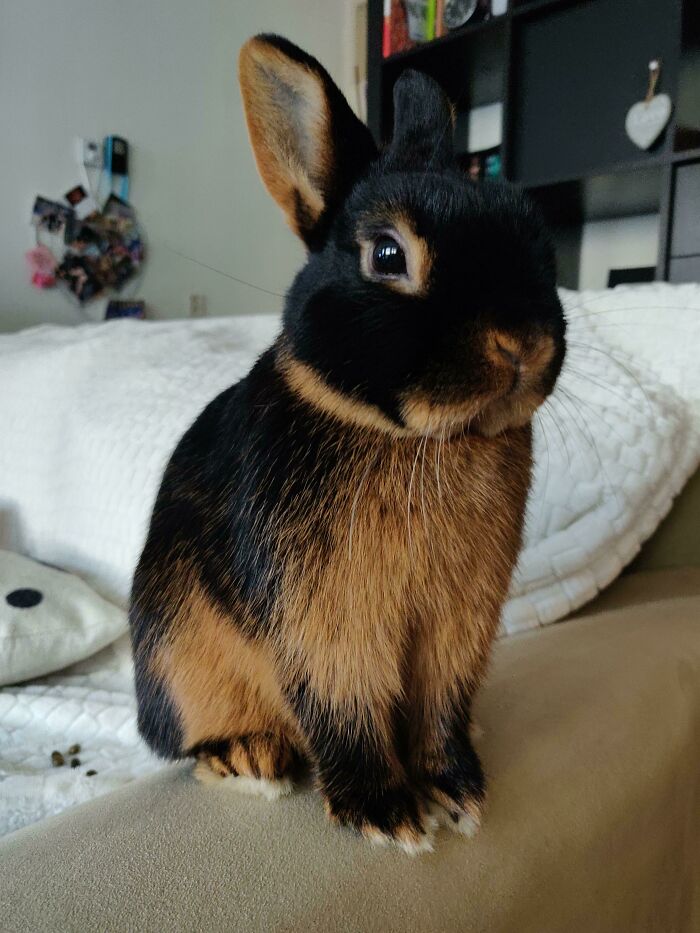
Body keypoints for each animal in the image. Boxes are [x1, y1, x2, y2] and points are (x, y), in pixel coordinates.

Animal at [129, 33, 566, 854]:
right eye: (388, 256)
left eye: (537, 234)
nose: (524, 343)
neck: (416, 436)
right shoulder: (329, 620)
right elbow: (346, 705)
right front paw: (388, 816)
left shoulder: (459, 627)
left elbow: (439, 708)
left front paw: (457, 790)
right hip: (181, 661)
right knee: (199, 739)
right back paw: (249, 758)